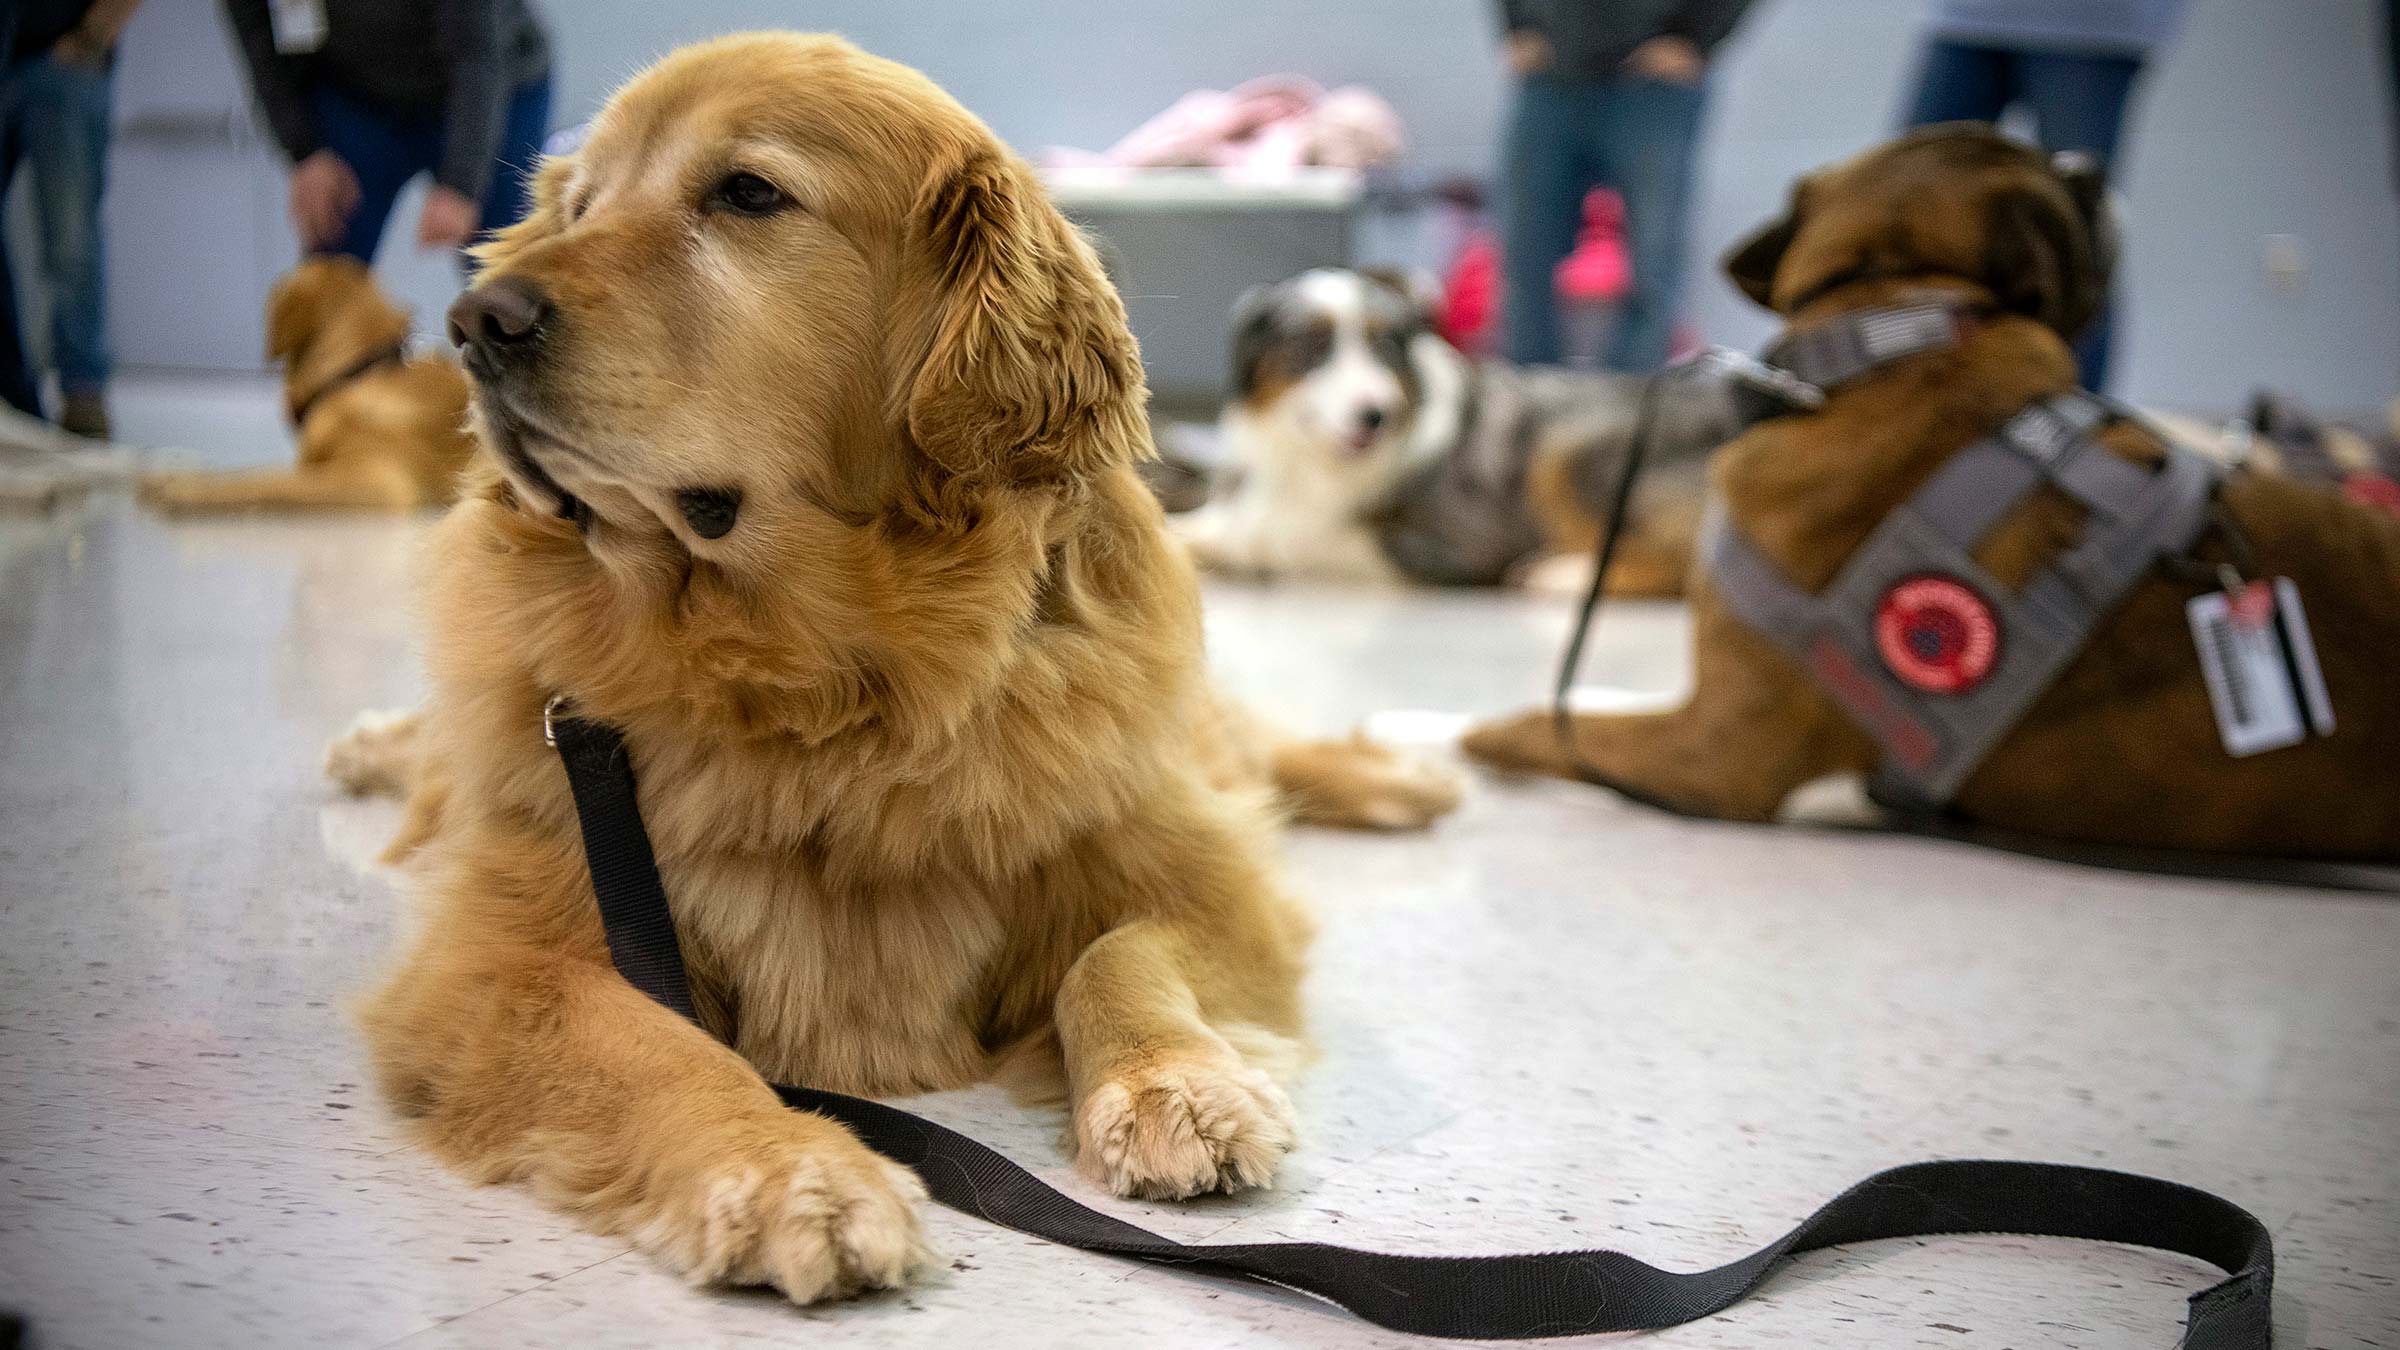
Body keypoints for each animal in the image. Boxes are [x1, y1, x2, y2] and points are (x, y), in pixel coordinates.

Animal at [333, 31, 1459, 1306]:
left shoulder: (1208, 880)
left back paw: (1397, 779)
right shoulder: (509, 954)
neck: (829, 680)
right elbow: (658, 1047)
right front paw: (788, 1166)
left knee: (1252, 750)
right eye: (580, 205)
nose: (476, 320)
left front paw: (1173, 1081)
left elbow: (1118, 951)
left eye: (748, 193)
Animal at [1459, 128, 2400, 859]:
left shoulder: (1714, 751)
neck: (1894, 327)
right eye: (2057, 179)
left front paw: (1469, 733)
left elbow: (1545, 722)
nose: (2089, 161)